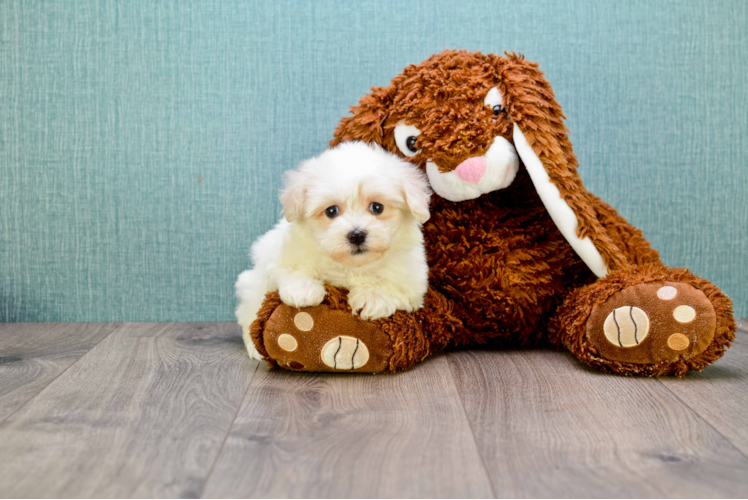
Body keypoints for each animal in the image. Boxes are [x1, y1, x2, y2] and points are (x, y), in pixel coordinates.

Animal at [234, 141, 432, 360]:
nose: (356, 235)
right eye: (331, 211)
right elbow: (292, 269)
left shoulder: (412, 281)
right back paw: (255, 349)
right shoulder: (284, 255)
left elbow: (394, 286)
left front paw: (373, 298)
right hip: (251, 287)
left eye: (377, 207)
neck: (352, 265)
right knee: (249, 317)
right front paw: (303, 290)